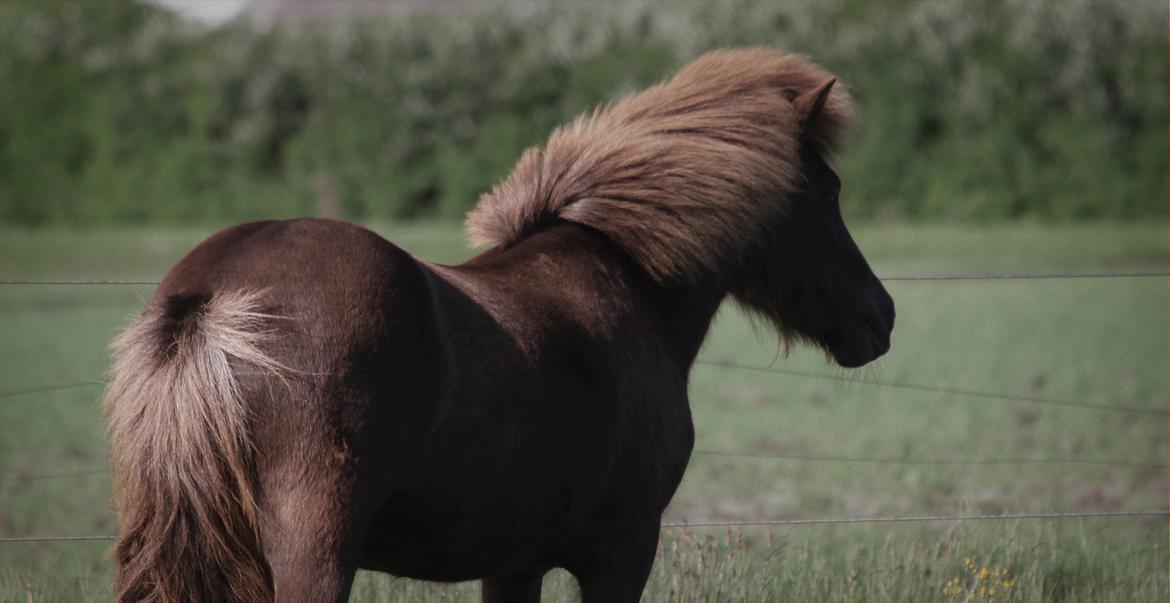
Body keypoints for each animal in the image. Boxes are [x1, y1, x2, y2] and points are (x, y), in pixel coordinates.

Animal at [107, 48, 893, 603]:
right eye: (829, 189)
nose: (879, 316)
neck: (628, 279)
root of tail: (211, 298)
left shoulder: (514, 564)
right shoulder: (623, 552)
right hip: (314, 554)